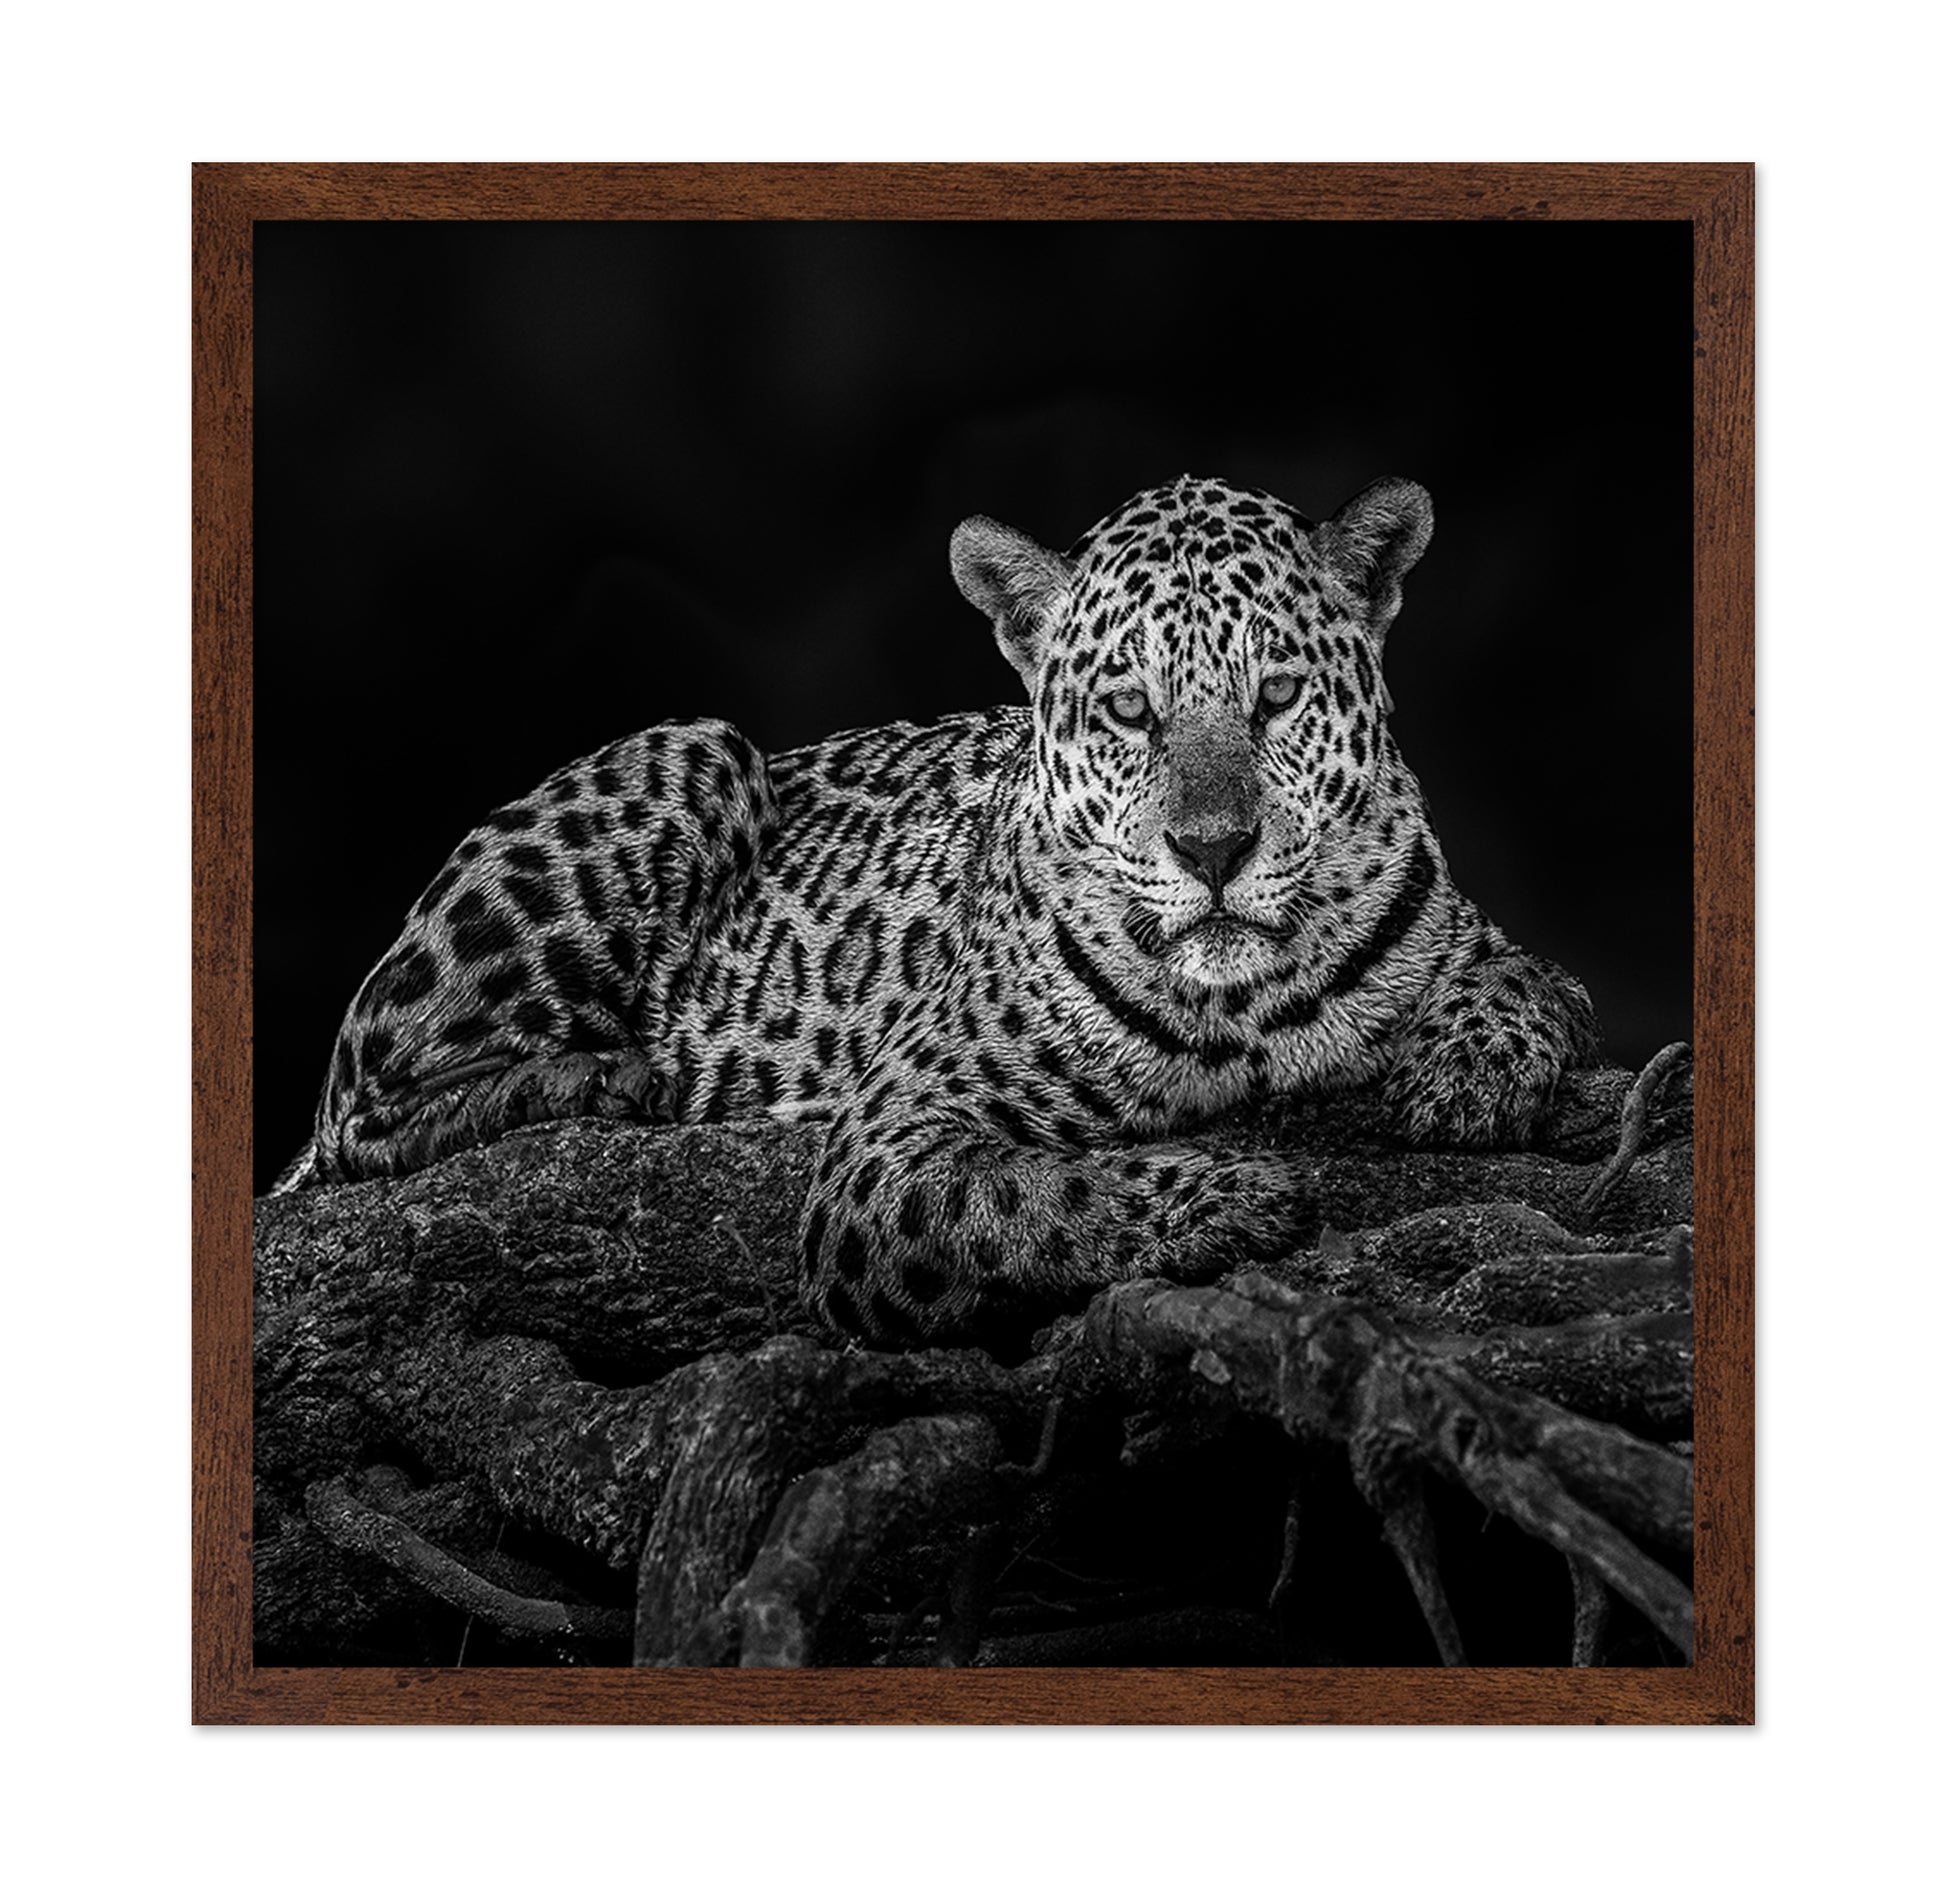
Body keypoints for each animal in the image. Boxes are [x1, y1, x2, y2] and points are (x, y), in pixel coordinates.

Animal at [272, 473, 1599, 1348]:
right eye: (1128, 710)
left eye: (1273, 695)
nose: (1213, 849)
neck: (1246, 1003)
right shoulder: (885, 1151)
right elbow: (1032, 1197)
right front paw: (1226, 1193)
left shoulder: (1483, 942)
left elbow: (1530, 980)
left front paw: (1466, 1074)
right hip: (693, 748)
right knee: (357, 1113)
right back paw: (615, 1078)